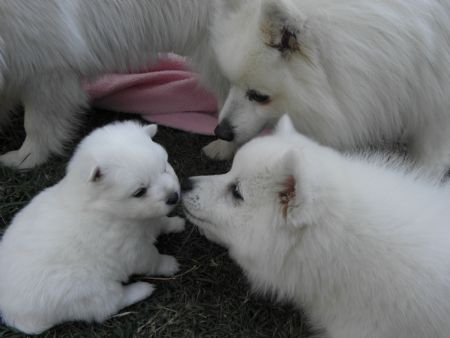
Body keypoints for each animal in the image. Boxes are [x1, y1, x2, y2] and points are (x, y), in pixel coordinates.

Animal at [0, 120, 185, 334]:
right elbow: (152, 259)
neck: (107, 208)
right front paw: (169, 264)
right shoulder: (134, 251)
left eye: (164, 168)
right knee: (111, 304)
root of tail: (14, 315)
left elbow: (162, 221)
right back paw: (142, 289)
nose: (174, 197)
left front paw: (177, 222)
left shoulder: (150, 221)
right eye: (140, 192)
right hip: (92, 291)